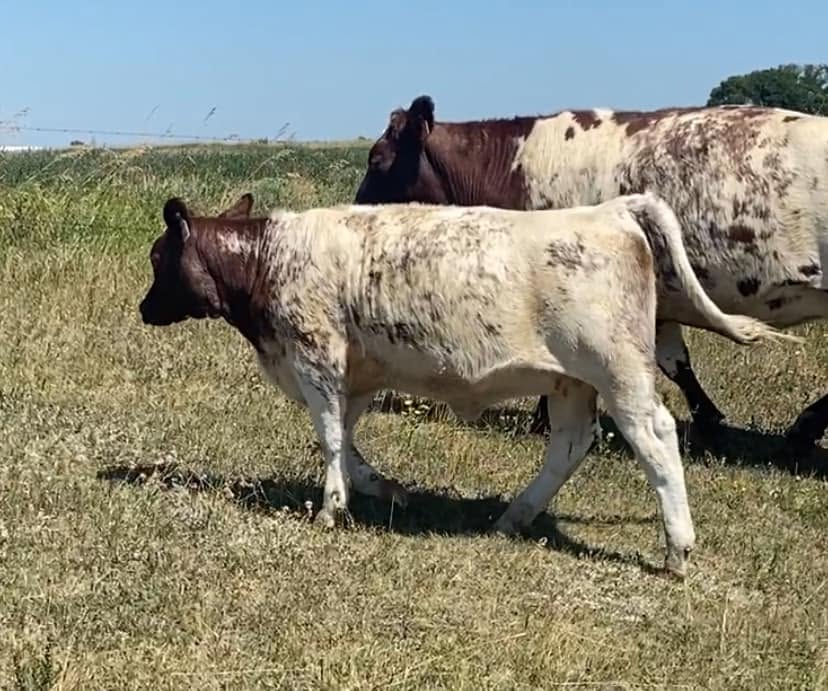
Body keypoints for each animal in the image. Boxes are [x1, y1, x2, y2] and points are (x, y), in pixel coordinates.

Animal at [138, 191, 794, 577]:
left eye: (156, 258)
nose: (144, 308)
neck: (268, 258)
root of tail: (612, 208)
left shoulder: (316, 358)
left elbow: (328, 437)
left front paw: (331, 508)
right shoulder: (355, 375)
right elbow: (346, 441)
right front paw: (383, 488)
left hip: (620, 371)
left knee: (655, 437)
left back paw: (677, 550)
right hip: (571, 382)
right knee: (570, 445)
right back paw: (514, 517)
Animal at [354, 96, 828, 451]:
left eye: (377, 159)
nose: (355, 211)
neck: (513, 170)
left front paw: (543, 420)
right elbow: (677, 363)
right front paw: (710, 420)